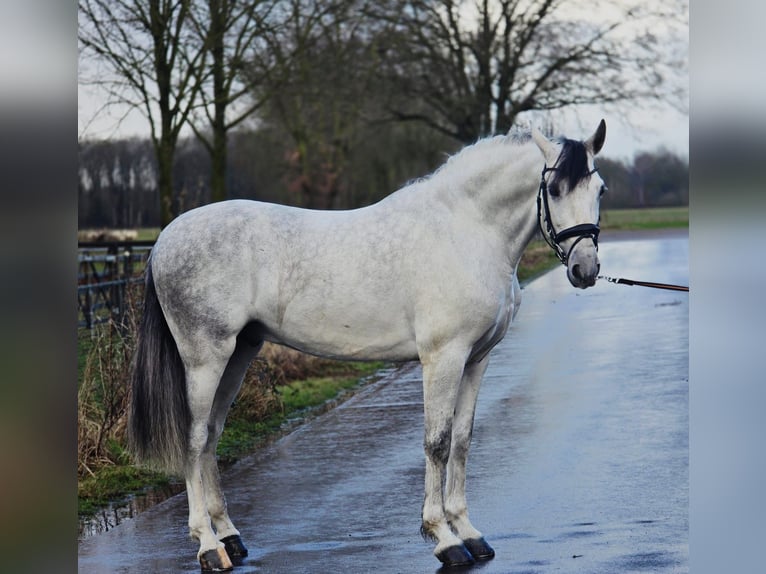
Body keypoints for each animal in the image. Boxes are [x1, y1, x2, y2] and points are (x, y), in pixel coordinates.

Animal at [128, 120, 608, 571]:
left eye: (600, 188)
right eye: (554, 188)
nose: (585, 269)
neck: (465, 229)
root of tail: (164, 240)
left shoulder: (477, 359)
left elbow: (463, 440)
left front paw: (470, 533)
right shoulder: (443, 357)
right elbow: (437, 442)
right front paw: (444, 538)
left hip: (239, 353)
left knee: (212, 436)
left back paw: (230, 537)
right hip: (205, 359)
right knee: (194, 441)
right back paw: (208, 547)